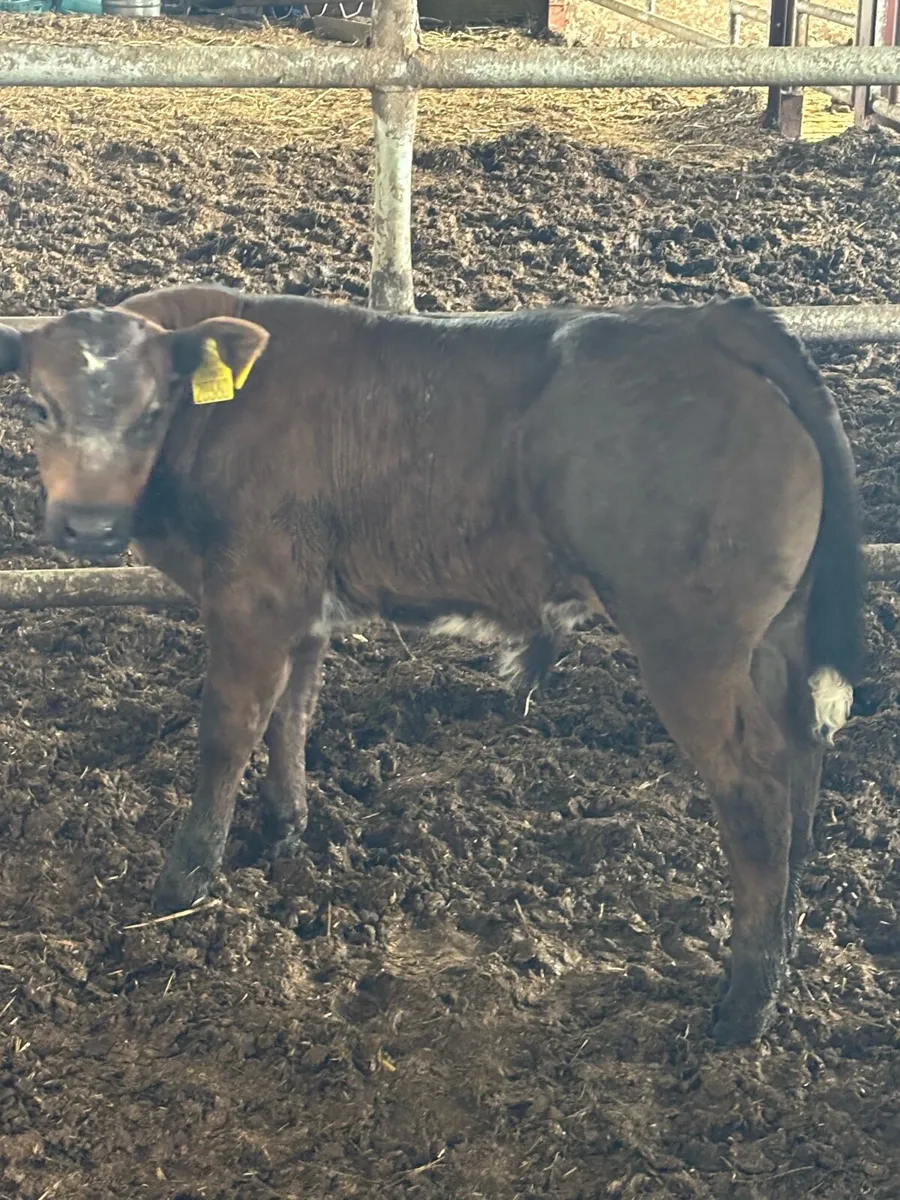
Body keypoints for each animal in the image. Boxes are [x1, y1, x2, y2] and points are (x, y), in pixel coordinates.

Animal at [0, 284, 864, 1047]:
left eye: (152, 412)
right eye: (39, 407)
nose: (89, 526)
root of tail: (711, 321)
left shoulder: (252, 597)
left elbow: (227, 731)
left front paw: (183, 883)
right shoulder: (303, 603)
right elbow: (292, 716)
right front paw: (283, 830)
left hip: (690, 646)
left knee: (755, 786)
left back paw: (745, 1006)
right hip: (774, 637)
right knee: (800, 757)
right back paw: (785, 941)